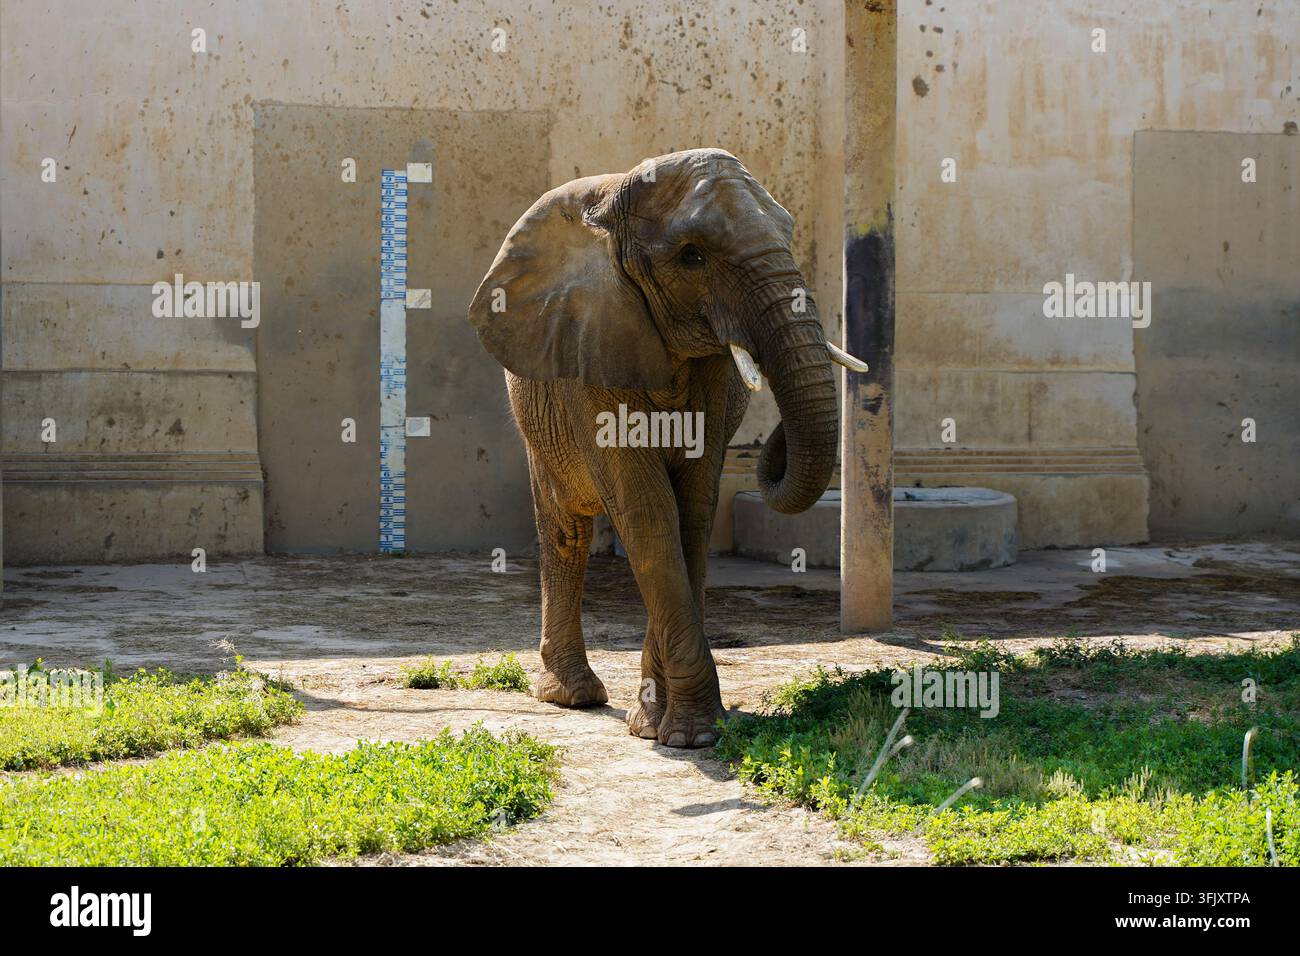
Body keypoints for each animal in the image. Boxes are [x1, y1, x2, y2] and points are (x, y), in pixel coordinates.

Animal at [469, 148, 868, 748]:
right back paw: (571, 697)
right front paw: (692, 737)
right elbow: (648, 511)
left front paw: (663, 727)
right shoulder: (596, 348)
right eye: (692, 256)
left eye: (789, 232)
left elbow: (693, 513)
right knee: (566, 528)